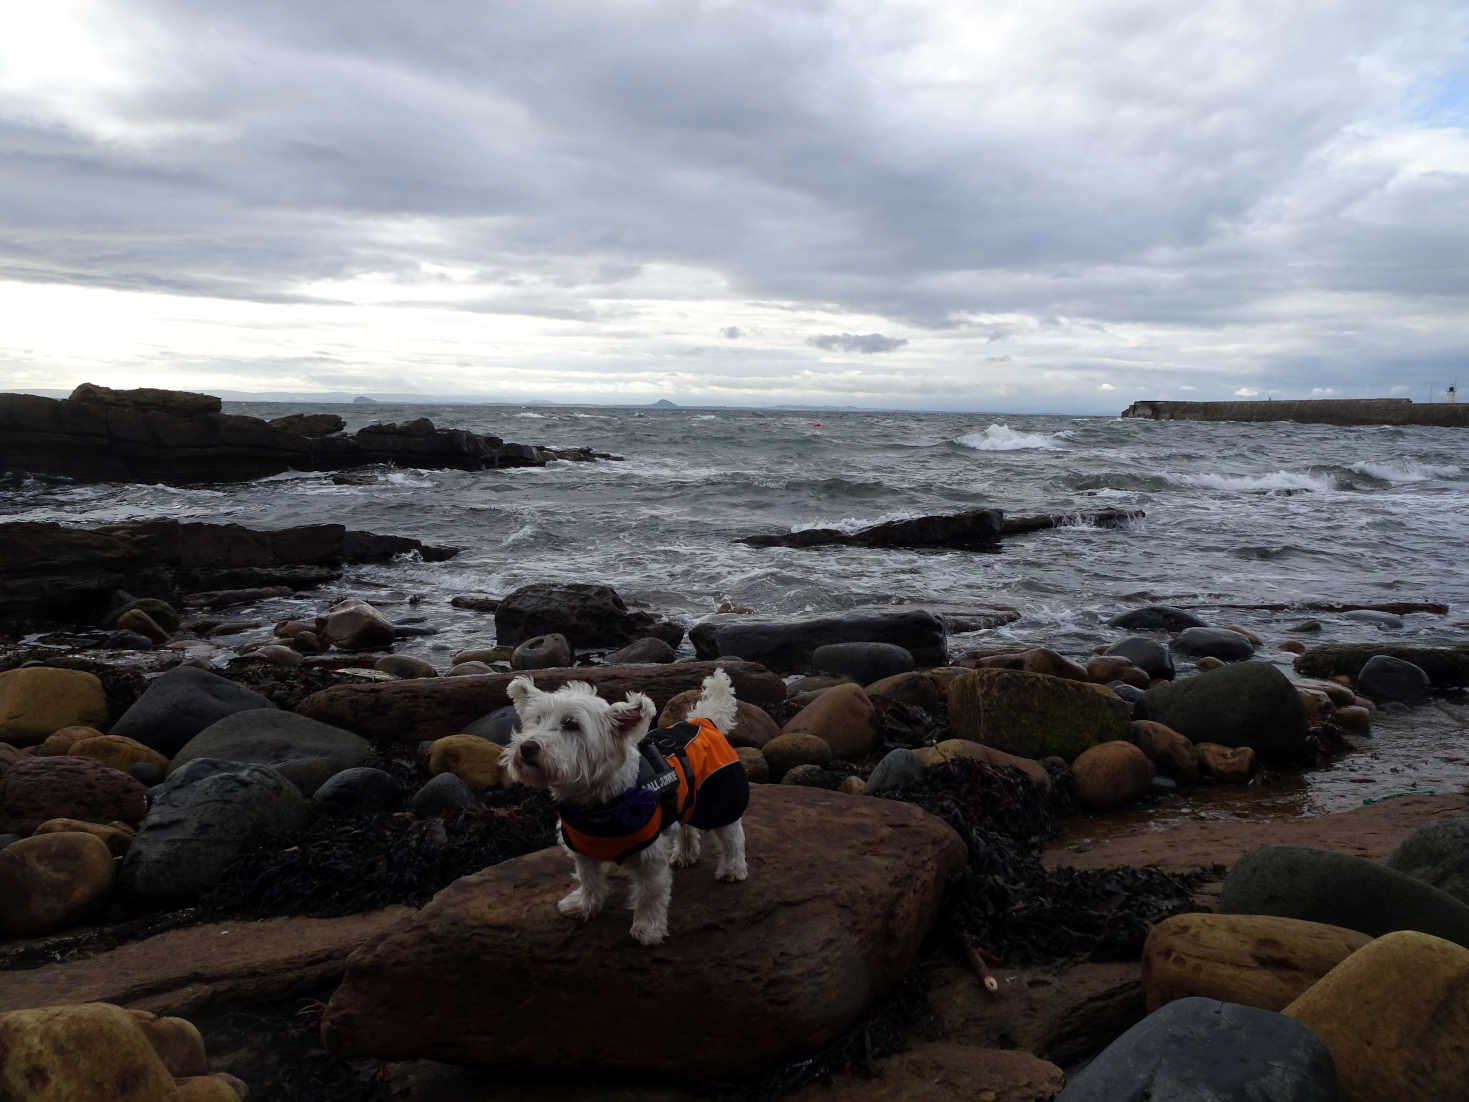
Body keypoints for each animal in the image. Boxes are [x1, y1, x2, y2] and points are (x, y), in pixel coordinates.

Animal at [508, 670, 758, 946]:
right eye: (536, 720)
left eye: (572, 724)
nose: (527, 747)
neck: (597, 804)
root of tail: (703, 720)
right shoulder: (581, 846)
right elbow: (589, 879)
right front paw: (583, 906)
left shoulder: (650, 855)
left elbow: (650, 893)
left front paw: (648, 929)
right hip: (686, 799)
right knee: (686, 826)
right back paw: (685, 854)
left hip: (720, 797)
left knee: (733, 836)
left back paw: (732, 870)